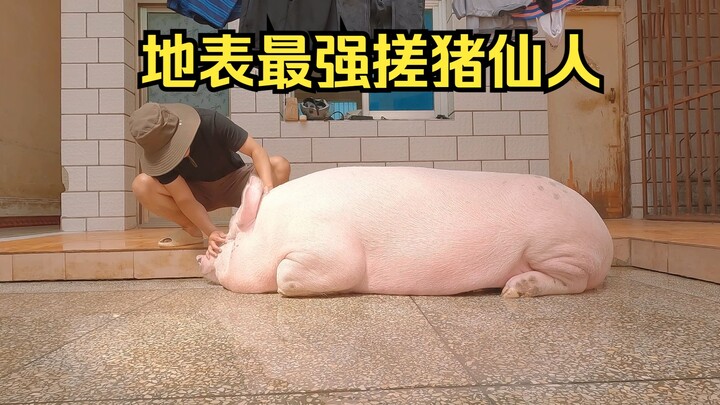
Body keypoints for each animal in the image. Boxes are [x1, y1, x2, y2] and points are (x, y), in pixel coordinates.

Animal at [197, 166, 612, 298]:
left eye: (229, 243)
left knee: (575, 282)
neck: (273, 231)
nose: (202, 256)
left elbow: (290, 275)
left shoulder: (329, 249)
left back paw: (513, 291)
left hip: (559, 249)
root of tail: (604, 237)